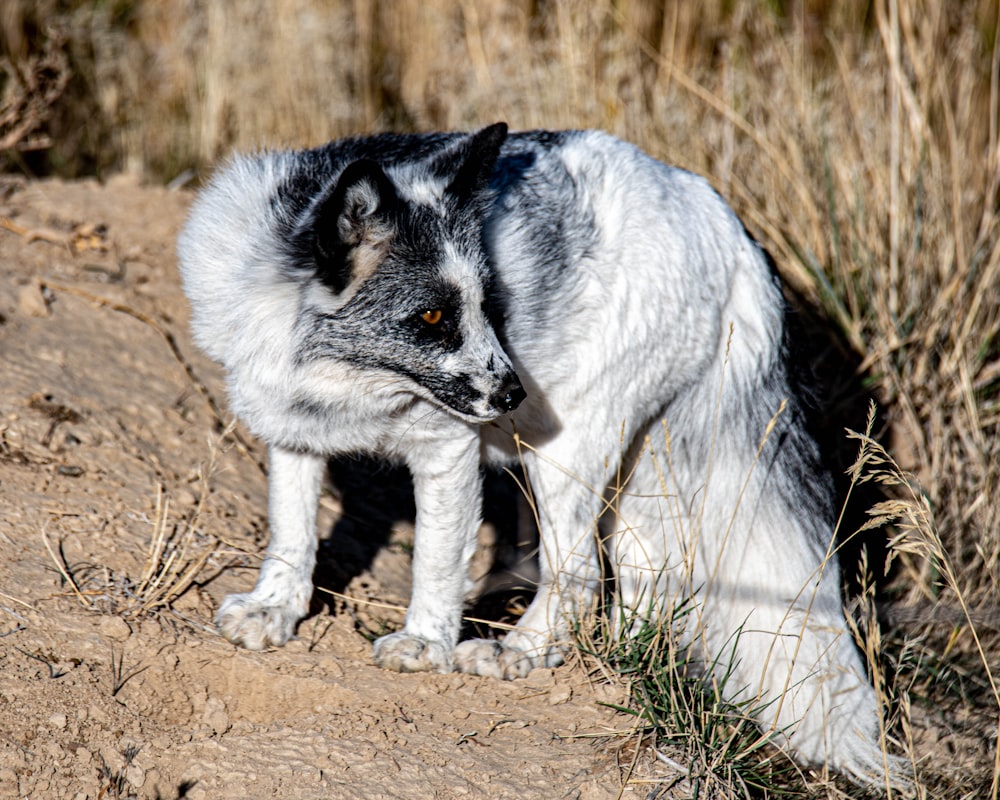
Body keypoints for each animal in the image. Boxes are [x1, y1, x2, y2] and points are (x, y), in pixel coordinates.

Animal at [178, 125, 908, 788]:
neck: (341, 377)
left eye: (490, 306)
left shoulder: (447, 450)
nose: (512, 392)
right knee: (646, 579)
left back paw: (520, 653)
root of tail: (723, 220)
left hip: (567, 452)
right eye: (432, 318)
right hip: (641, 474)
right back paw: (610, 664)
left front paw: (427, 644)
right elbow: (292, 534)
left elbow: (434, 563)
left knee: (580, 572)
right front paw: (275, 611)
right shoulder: (291, 433)